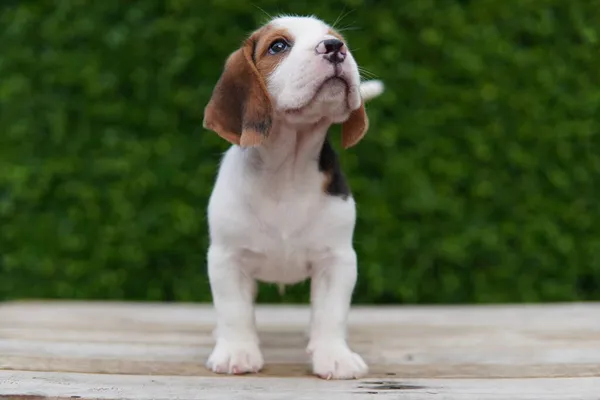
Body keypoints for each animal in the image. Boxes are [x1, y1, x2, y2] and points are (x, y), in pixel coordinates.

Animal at [203, 14, 384, 380]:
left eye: (335, 37)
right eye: (278, 46)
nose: (335, 47)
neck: (287, 170)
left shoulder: (337, 260)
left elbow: (331, 313)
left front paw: (334, 355)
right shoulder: (227, 258)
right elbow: (234, 311)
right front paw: (236, 351)